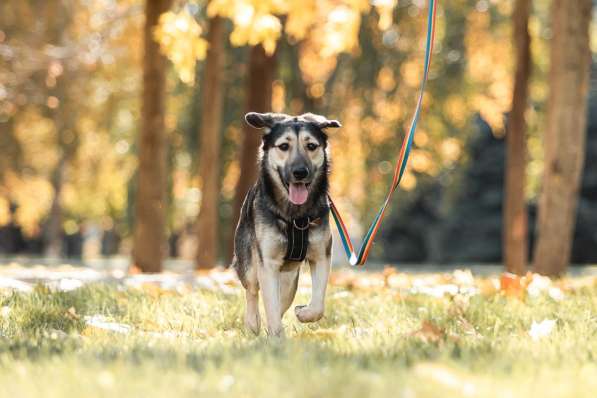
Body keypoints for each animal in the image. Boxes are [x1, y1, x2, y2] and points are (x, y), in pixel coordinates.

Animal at [232, 111, 340, 336]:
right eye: (283, 146)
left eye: (311, 146)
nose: (300, 172)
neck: (295, 216)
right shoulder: (267, 264)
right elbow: (269, 305)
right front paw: (275, 337)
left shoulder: (321, 256)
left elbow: (318, 305)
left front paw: (304, 313)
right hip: (249, 264)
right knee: (252, 291)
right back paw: (253, 323)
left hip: (290, 280)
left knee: (282, 302)